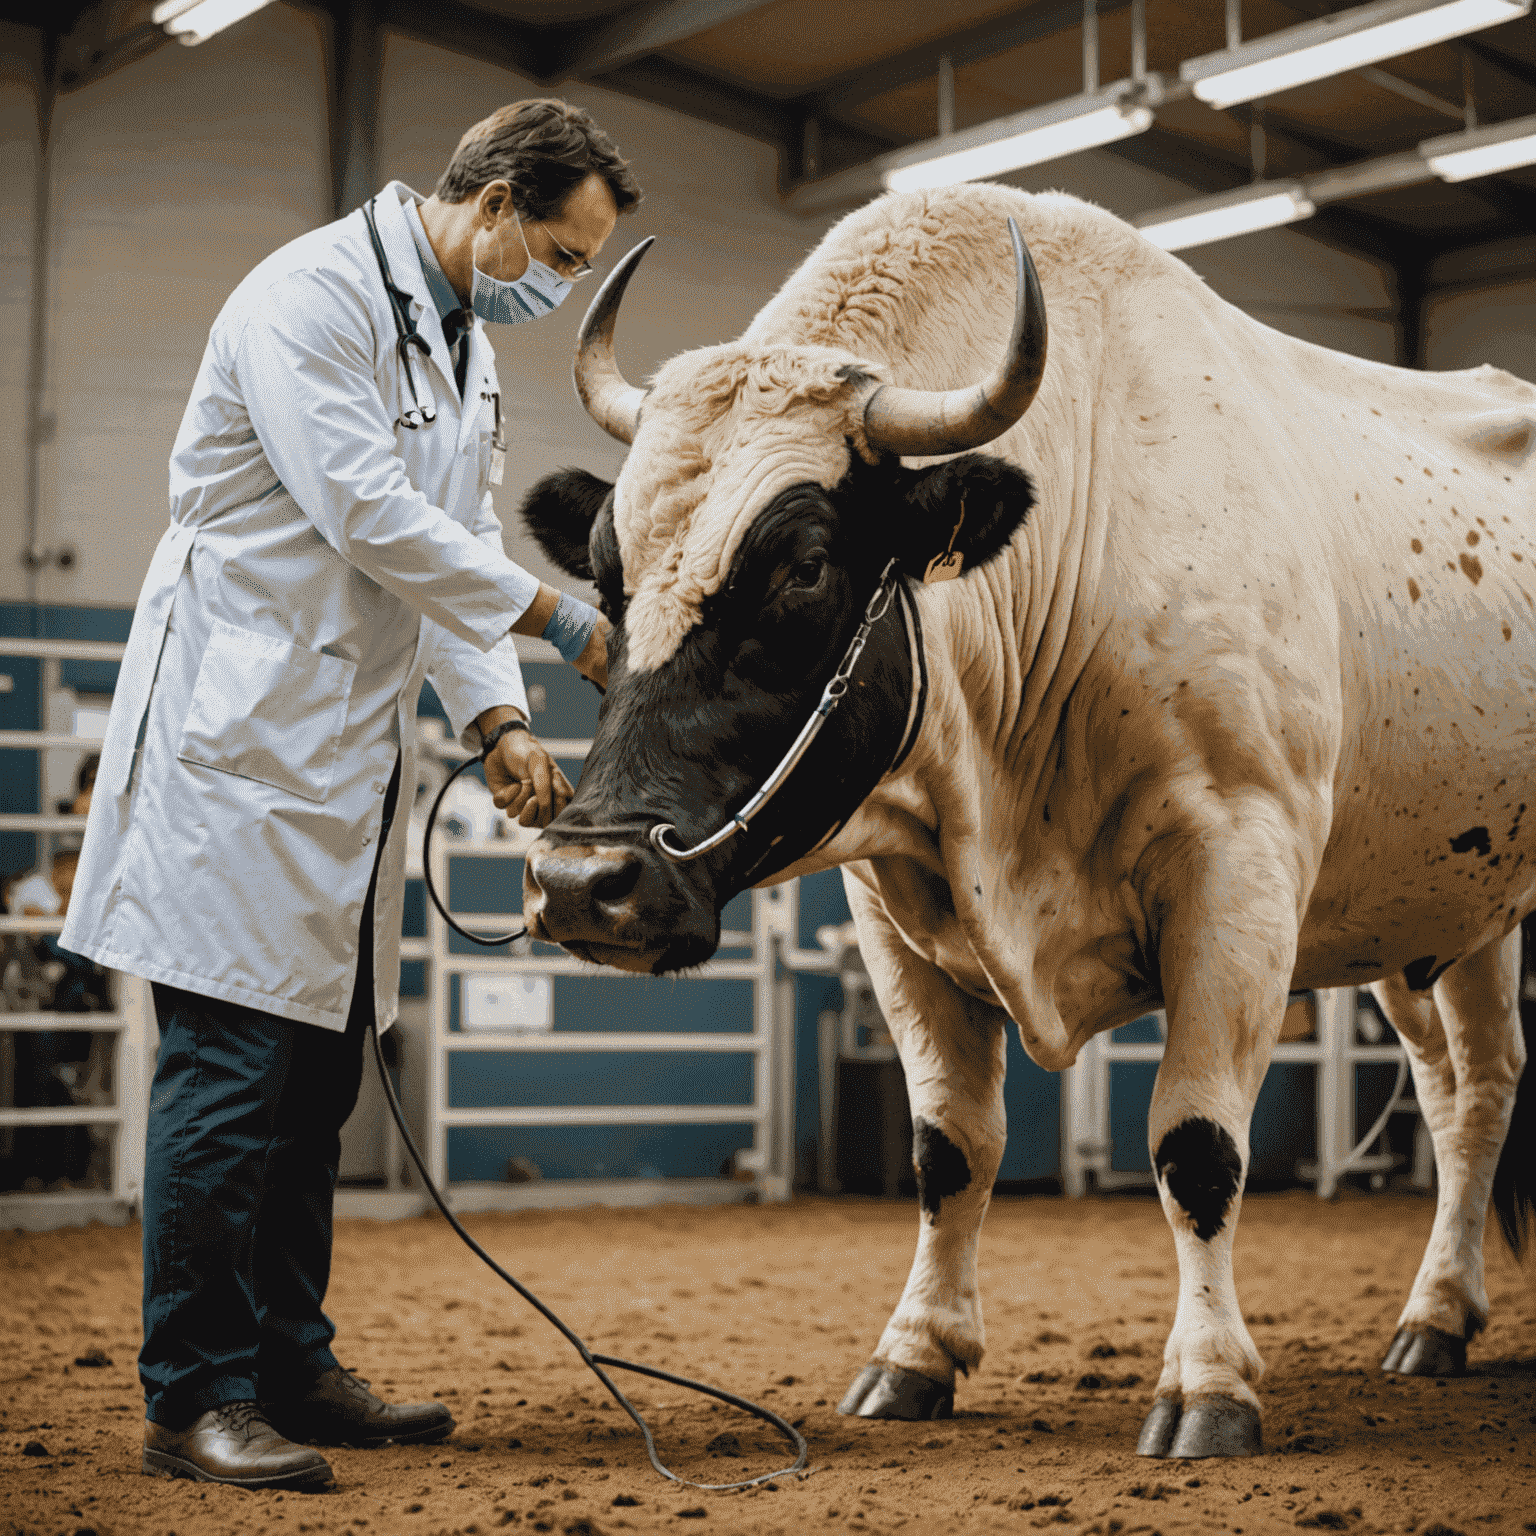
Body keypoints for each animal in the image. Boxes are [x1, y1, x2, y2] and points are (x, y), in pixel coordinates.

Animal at [519, 185, 1536, 1456]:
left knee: (1485, 1087)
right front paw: (916, 1354)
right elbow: (949, 1148)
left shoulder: (1240, 876)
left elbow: (1197, 1146)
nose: (582, 881)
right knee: (1459, 1096)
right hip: (1428, 915)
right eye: (607, 572)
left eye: (804, 564)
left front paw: (1208, 1384)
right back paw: (1435, 1320)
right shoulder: (895, 913)